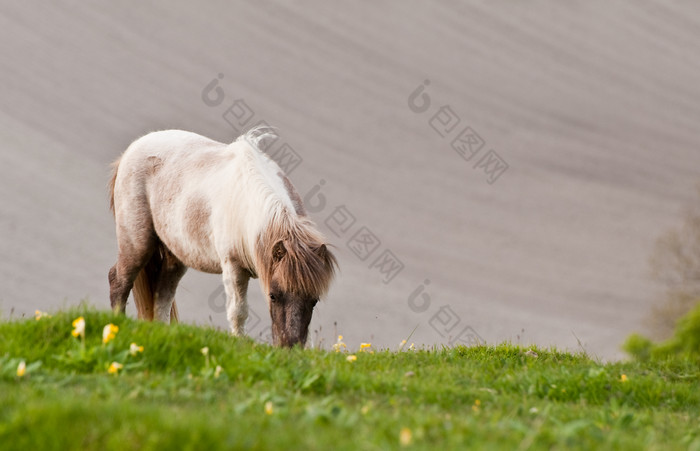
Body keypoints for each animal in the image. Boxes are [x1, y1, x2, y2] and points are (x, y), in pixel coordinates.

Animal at [108, 129, 338, 348]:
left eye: (314, 300)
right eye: (273, 295)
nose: (289, 347)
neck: (248, 206)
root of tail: (131, 151)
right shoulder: (234, 267)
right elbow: (238, 311)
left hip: (175, 257)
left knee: (162, 296)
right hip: (138, 243)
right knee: (119, 280)